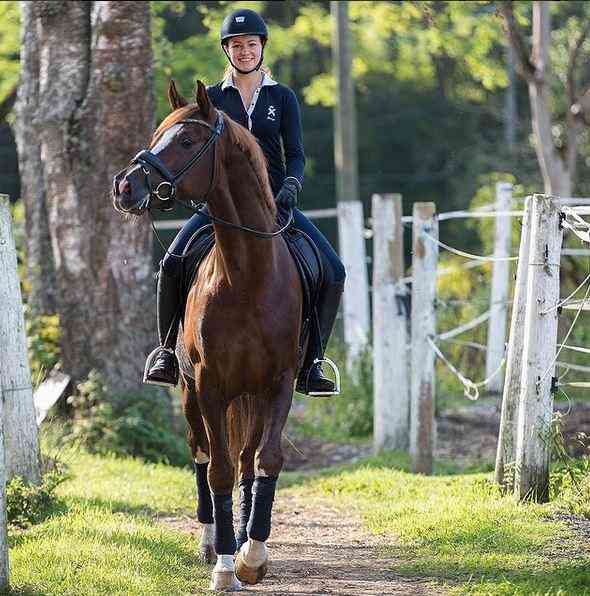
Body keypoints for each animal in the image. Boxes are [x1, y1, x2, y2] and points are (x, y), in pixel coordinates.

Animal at [113, 82, 302, 592]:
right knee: (201, 453)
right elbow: (217, 469)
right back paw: (210, 539)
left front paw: (252, 554)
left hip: (251, 395)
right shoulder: (209, 385)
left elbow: (266, 460)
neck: (248, 276)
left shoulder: (278, 383)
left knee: (248, 458)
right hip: (189, 393)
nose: (125, 186)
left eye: (186, 141)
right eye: (156, 135)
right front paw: (223, 565)